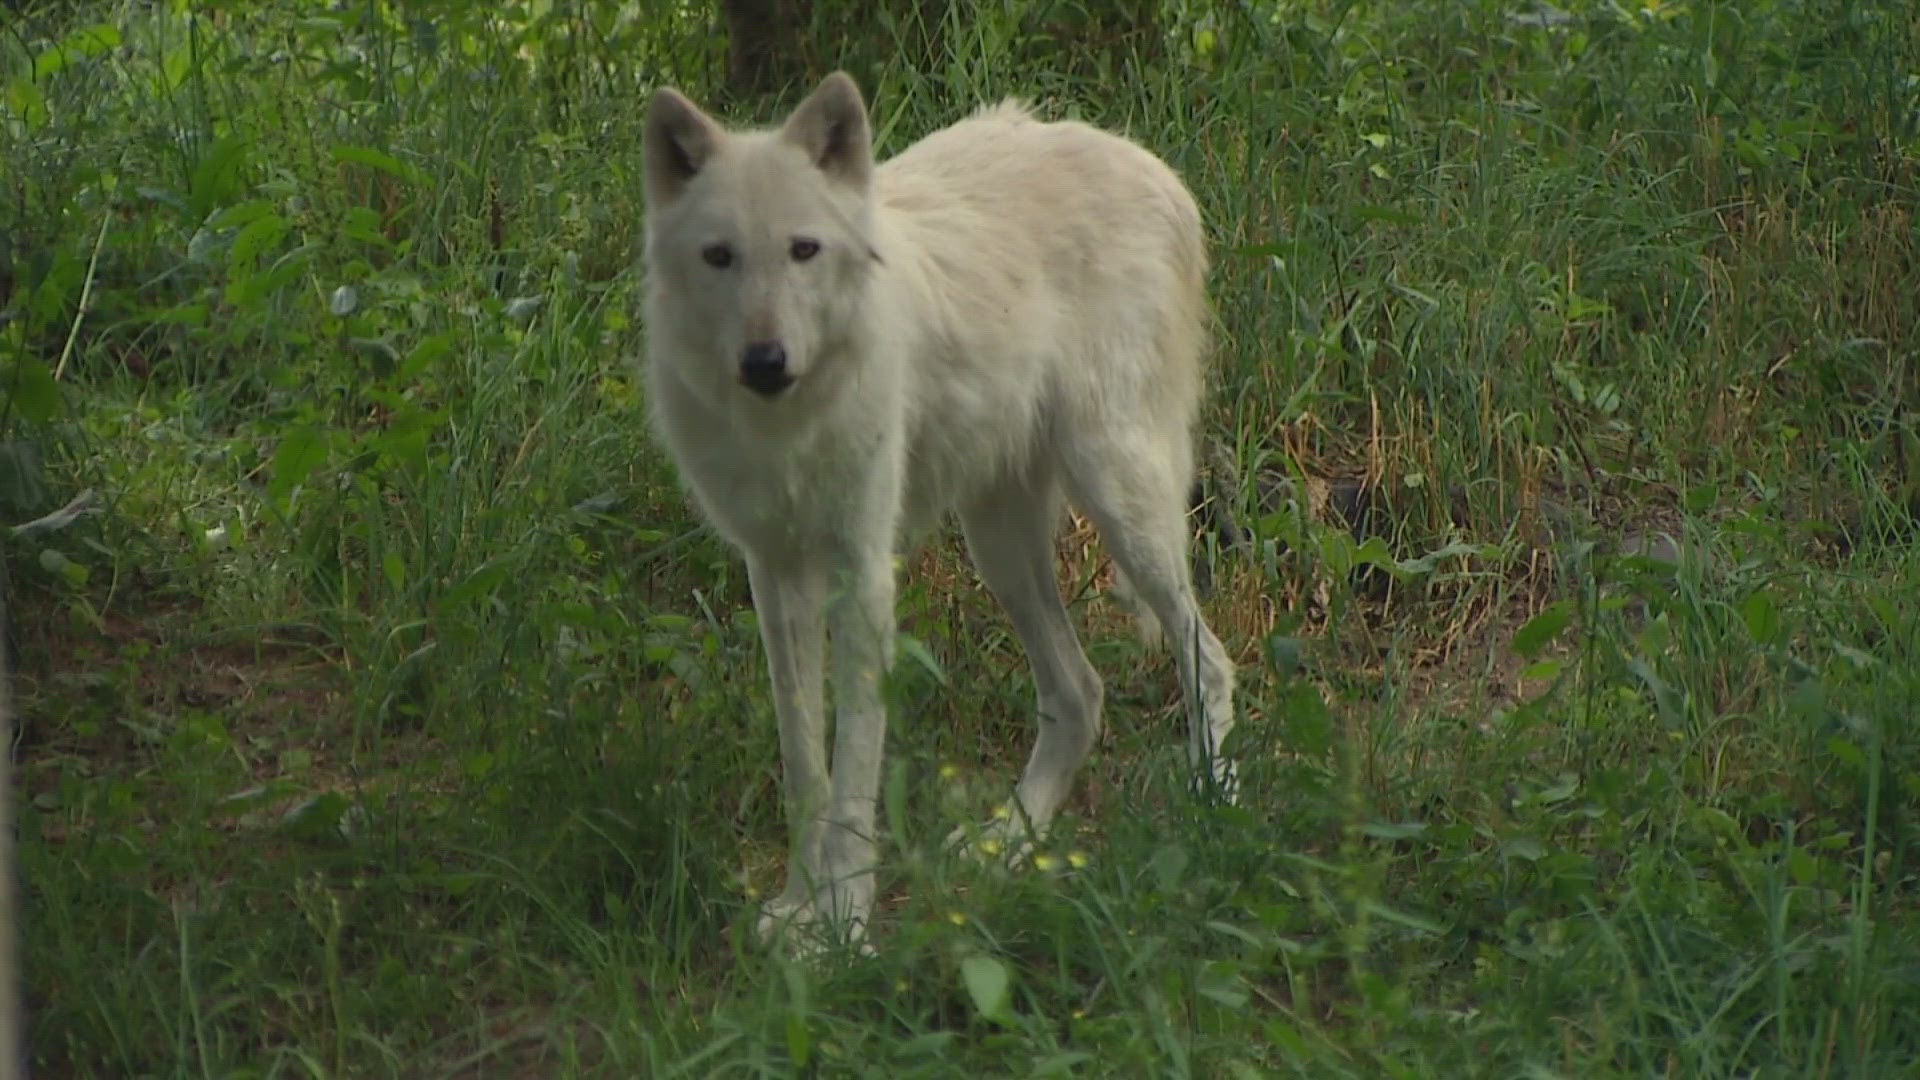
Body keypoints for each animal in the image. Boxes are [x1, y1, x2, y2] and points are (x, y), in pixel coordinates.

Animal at [637, 71, 1236, 937]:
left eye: (803, 250)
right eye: (720, 256)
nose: (765, 361)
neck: (790, 425)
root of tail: (1156, 170)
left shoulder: (863, 578)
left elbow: (854, 770)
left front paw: (842, 927)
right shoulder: (776, 576)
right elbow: (805, 765)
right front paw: (796, 907)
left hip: (1121, 499)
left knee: (1208, 661)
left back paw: (1212, 812)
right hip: (999, 547)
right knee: (1080, 694)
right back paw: (1009, 843)